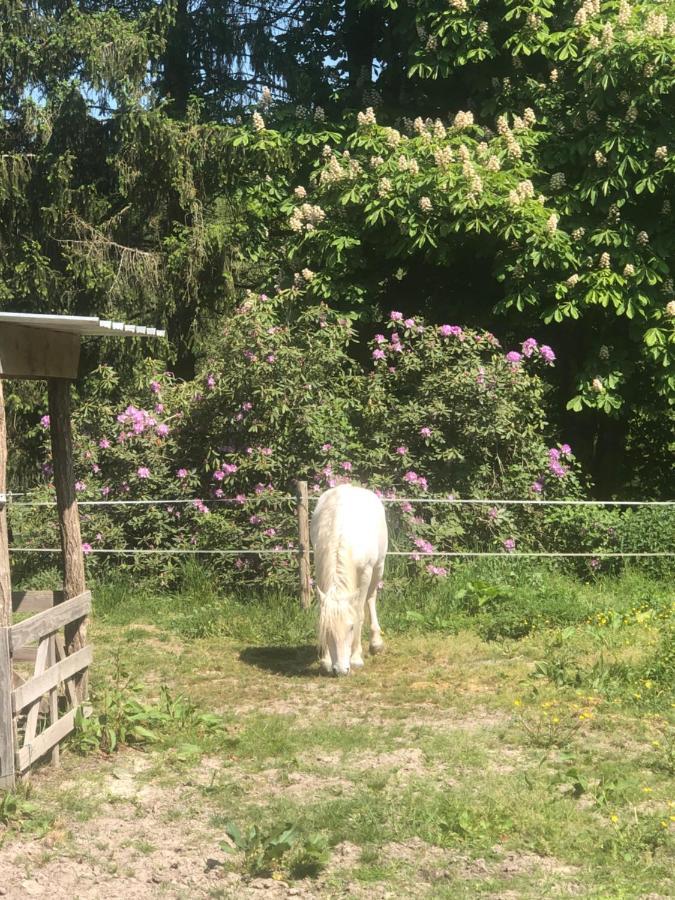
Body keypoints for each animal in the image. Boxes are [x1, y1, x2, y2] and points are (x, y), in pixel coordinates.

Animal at [310, 486, 388, 676]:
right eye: (326, 631)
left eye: (351, 628)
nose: (340, 670)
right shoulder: (320, 571)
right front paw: (326, 660)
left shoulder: (366, 572)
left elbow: (359, 613)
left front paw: (356, 658)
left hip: (378, 568)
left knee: (371, 598)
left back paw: (375, 644)